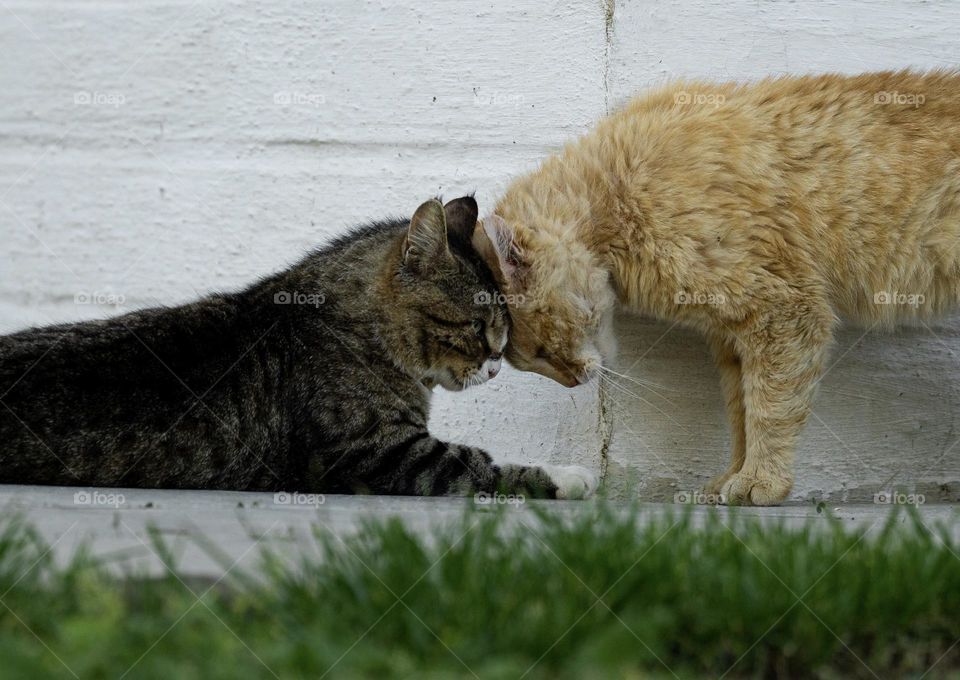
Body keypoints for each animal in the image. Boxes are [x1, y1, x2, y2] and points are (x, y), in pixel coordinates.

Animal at [476, 70, 960, 504]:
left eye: (539, 352)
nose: (573, 383)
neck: (616, 194)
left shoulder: (784, 312)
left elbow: (770, 407)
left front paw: (762, 481)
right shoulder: (732, 338)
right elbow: (740, 411)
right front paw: (734, 475)